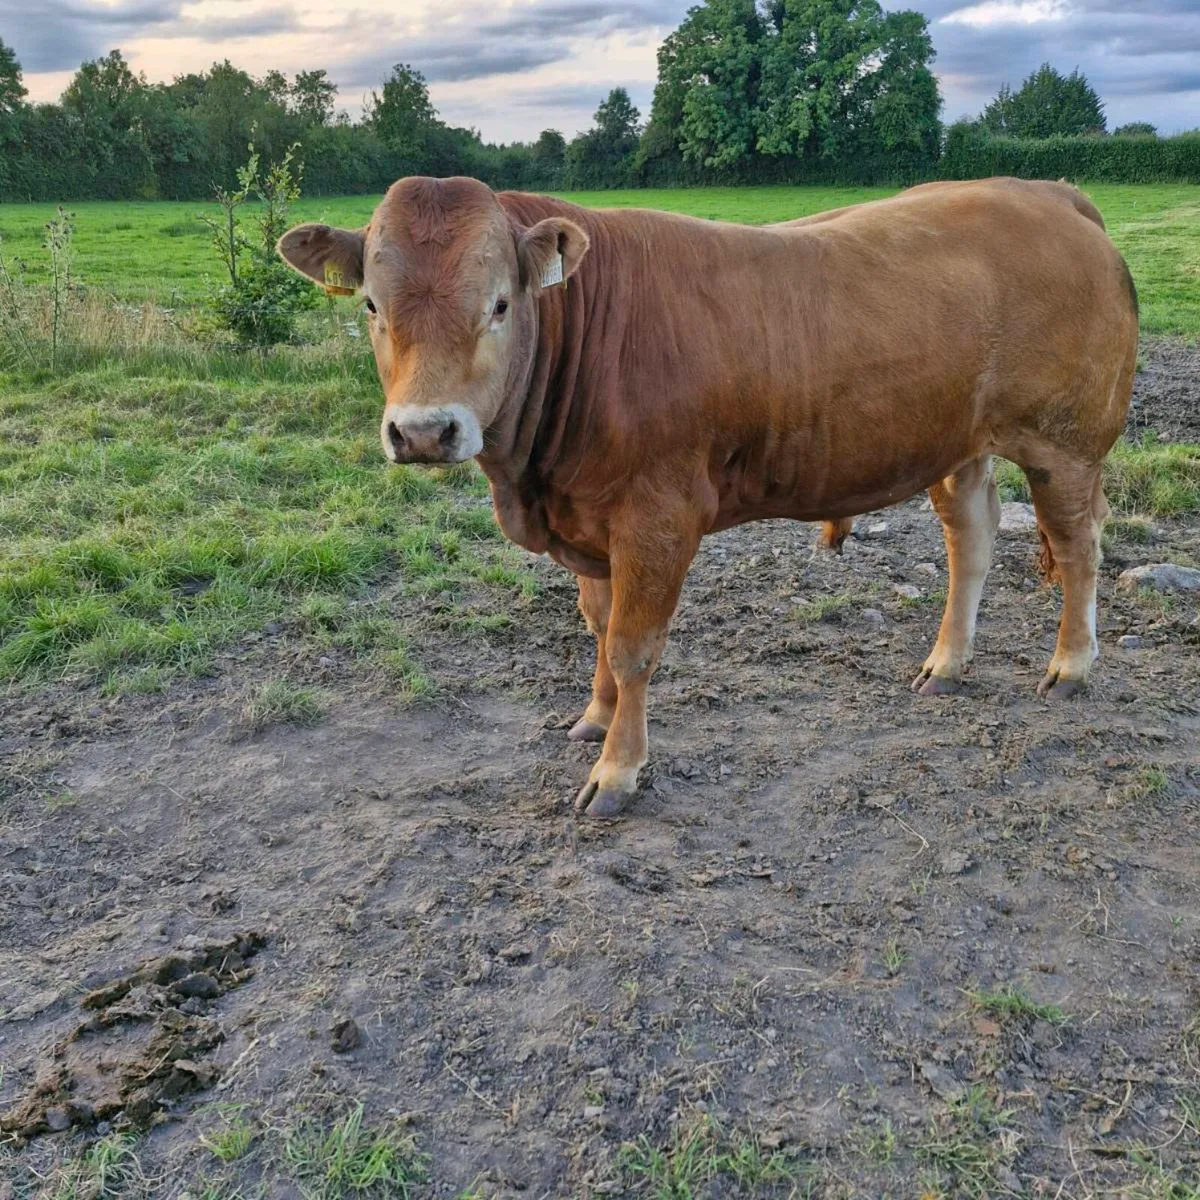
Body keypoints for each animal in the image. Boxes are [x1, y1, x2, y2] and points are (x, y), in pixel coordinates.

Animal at [278, 176, 1139, 818]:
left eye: (498, 304)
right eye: (372, 304)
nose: (424, 431)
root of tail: (1049, 193)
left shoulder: (657, 520)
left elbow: (632, 646)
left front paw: (619, 771)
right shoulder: (590, 522)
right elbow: (598, 629)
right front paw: (595, 719)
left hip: (1064, 445)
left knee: (1079, 547)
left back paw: (1071, 664)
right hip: (958, 444)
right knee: (973, 541)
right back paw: (947, 661)